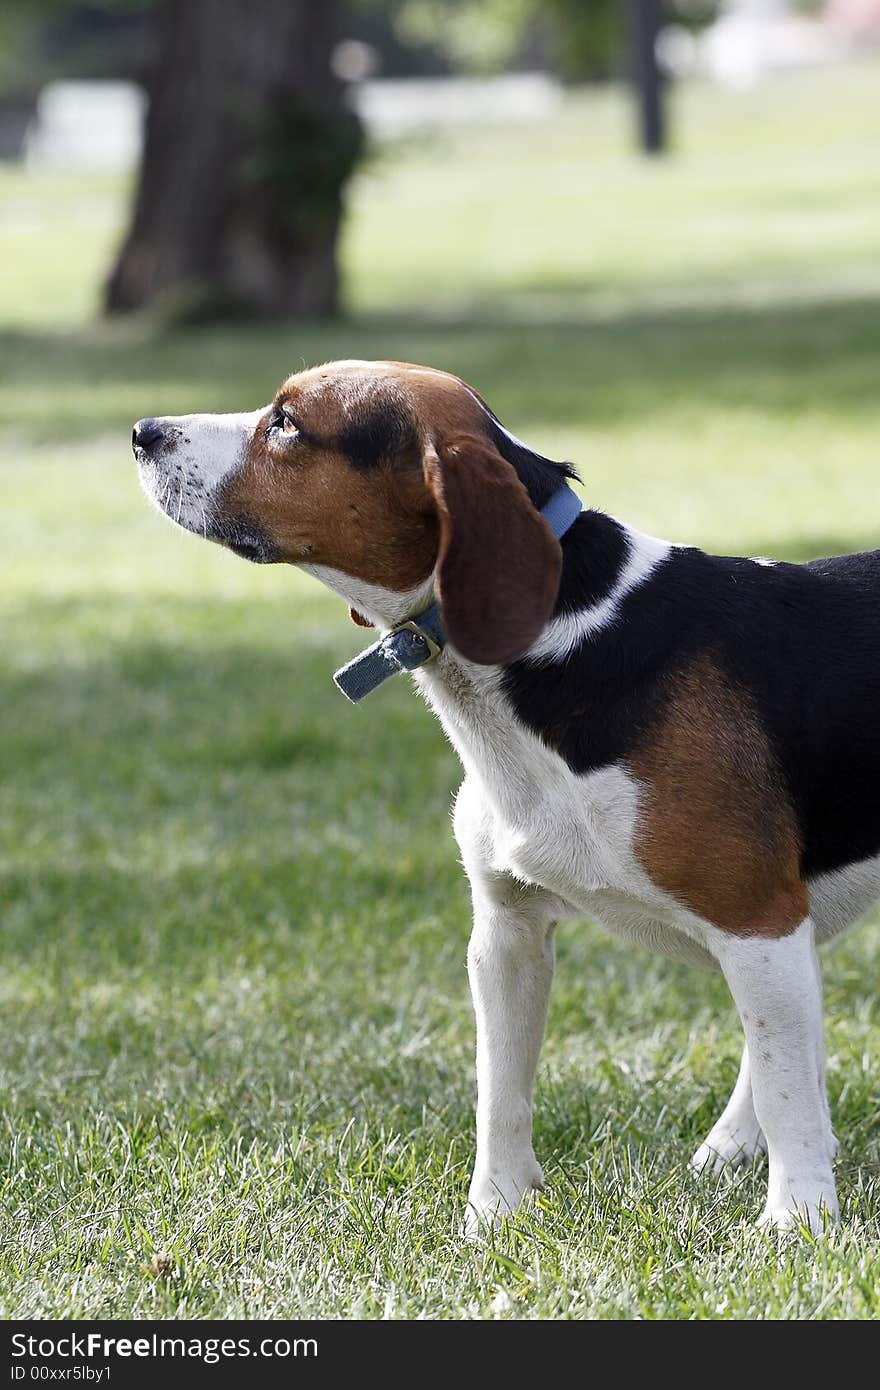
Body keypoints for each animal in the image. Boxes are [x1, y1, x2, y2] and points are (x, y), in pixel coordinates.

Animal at [130, 361, 878, 1239]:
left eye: (286, 424)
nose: (142, 432)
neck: (565, 636)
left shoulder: (757, 923)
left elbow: (787, 1085)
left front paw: (797, 1222)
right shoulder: (505, 932)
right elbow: (502, 1093)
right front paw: (495, 1215)